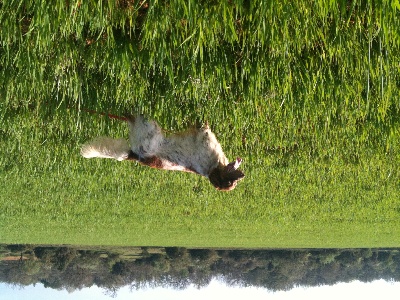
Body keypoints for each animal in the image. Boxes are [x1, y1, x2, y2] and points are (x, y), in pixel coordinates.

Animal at [81, 113, 244, 191]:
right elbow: (204, 130)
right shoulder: (204, 140)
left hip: (149, 133)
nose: (242, 175)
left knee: (133, 119)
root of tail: (135, 156)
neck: (212, 168)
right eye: (231, 181)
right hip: (151, 131)